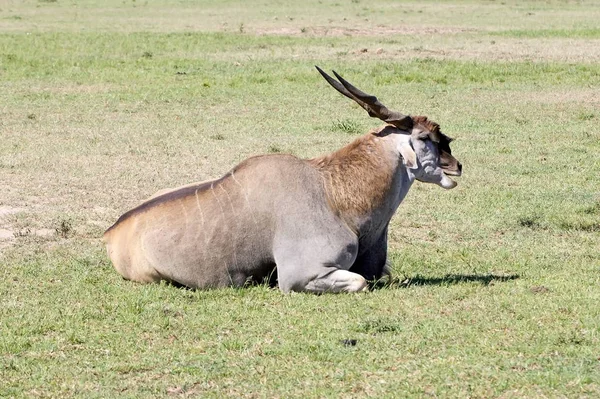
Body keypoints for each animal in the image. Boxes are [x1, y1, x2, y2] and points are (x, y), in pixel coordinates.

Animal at [103, 67, 462, 294]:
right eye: (425, 137)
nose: (456, 166)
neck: (332, 192)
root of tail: (112, 232)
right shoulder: (301, 275)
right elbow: (360, 281)